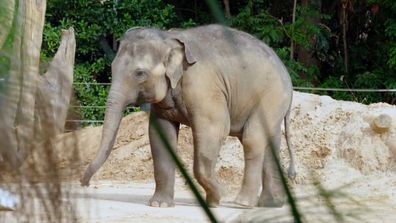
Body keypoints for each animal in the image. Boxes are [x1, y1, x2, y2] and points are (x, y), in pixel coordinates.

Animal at [80, 24, 296, 207]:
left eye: (140, 73)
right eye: (112, 68)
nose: (84, 183)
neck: (168, 38)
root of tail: (287, 74)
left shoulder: (202, 84)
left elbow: (215, 128)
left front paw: (218, 197)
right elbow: (160, 135)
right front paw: (160, 204)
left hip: (271, 96)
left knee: (253, 139)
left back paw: (242, 203)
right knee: (269, 142)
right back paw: (271, 203)